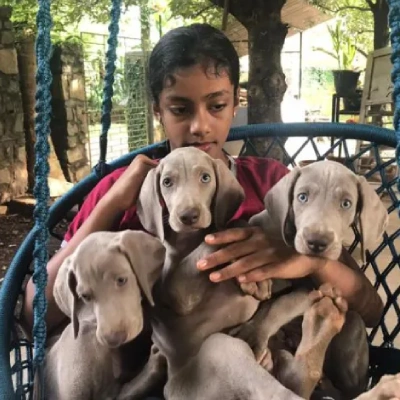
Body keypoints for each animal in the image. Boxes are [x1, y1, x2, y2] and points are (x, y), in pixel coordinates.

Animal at [119, 149, 350, 400]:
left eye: (205, 178)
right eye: (167, 182)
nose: (188, 216)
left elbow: (230, 228)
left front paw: (259, 279)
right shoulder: (175, 293)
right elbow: (208, 246)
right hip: (220, 349)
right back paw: (323, 320)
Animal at [236, 161, 390, 398]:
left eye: (346, 203)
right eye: (302, 197)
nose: (317, 242)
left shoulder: (311, 289)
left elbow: (281, 304)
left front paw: (255, 333)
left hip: (352, 327)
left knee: (350, 389)